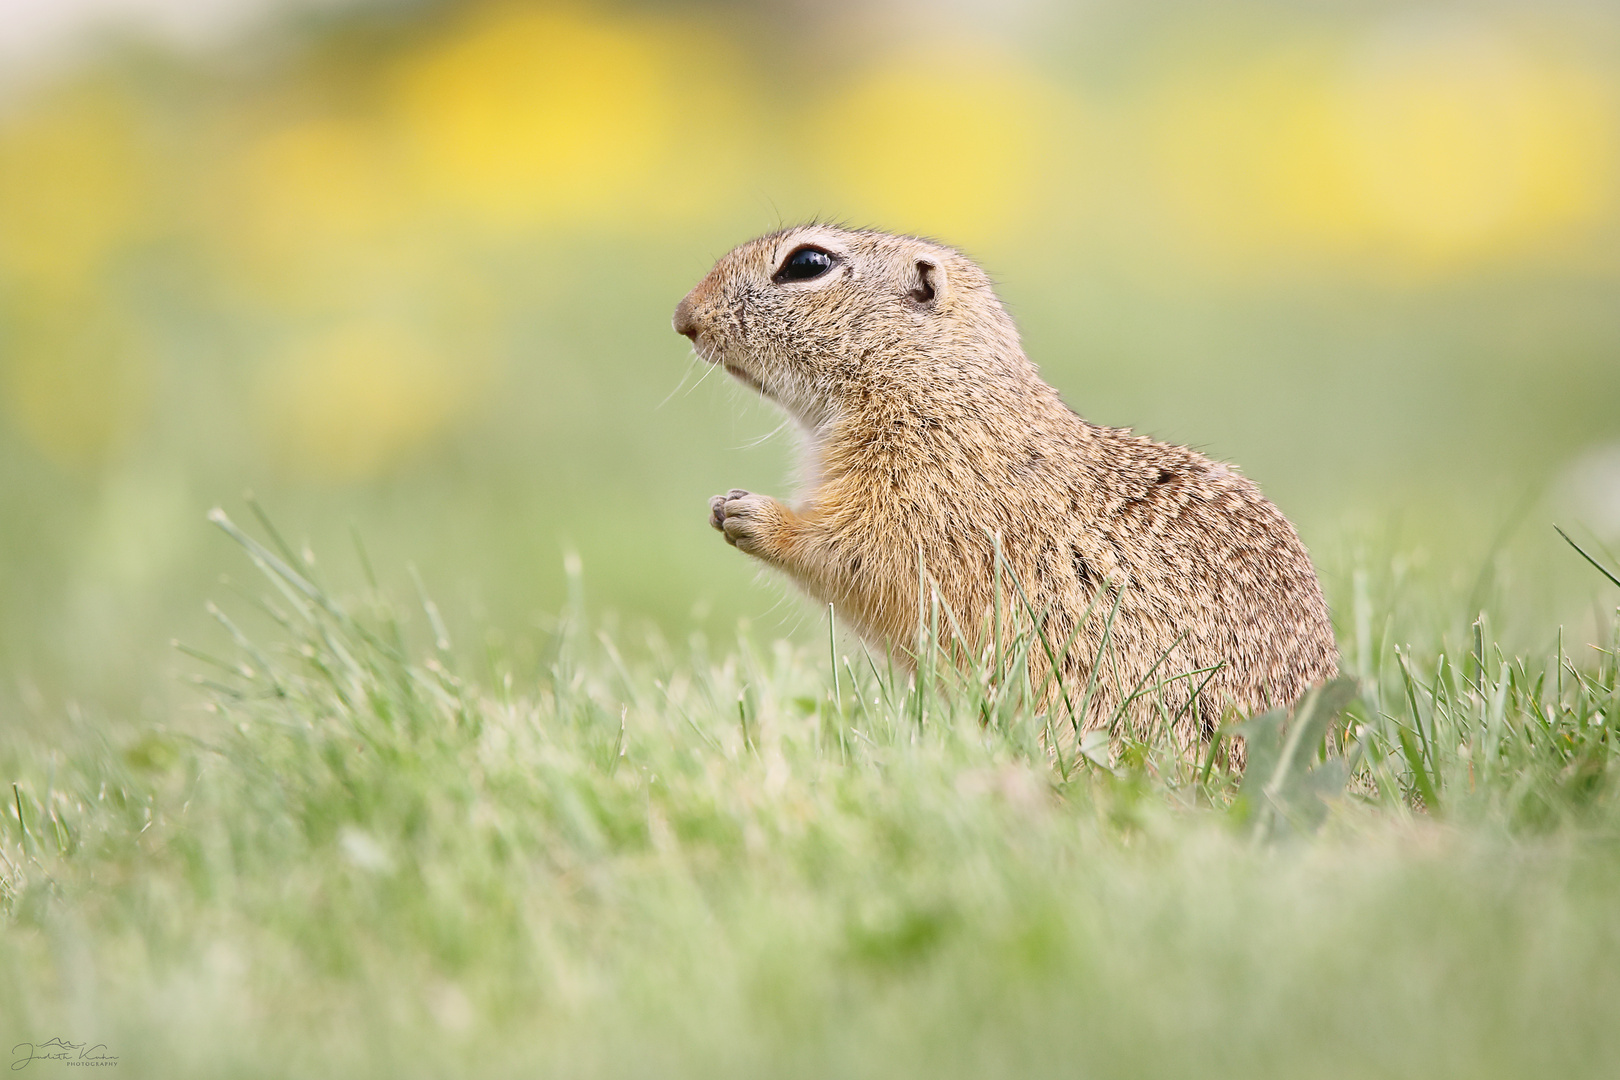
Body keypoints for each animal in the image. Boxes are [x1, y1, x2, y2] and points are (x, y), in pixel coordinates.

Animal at [673, 226, 1341, 751]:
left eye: (807, 263)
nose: (683, 316)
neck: (934, 384)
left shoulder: (925, 498)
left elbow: (855, 555)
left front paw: (748, 514)